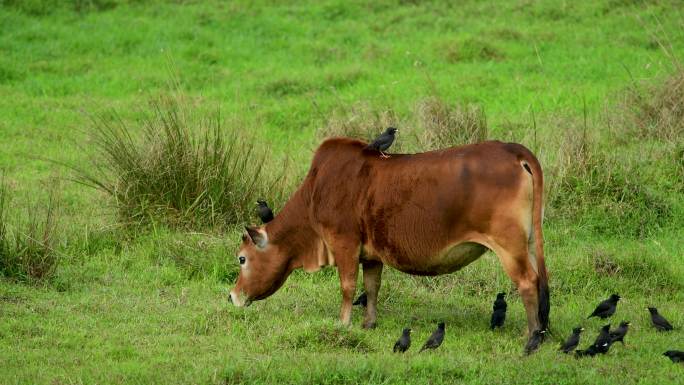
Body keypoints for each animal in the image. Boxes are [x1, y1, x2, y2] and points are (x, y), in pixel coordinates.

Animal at [230, 137, 552, 342]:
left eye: (242, 258)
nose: (232, 295)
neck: (315, 192)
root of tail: (514, 151)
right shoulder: (371, 255)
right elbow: (372, 287)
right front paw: (368, 323)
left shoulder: (344, 243)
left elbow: (348, 287)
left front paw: (343, 323)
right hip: (529, 242)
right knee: (538, 280)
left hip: (509, 245)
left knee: (527, 282)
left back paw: (529, 334)